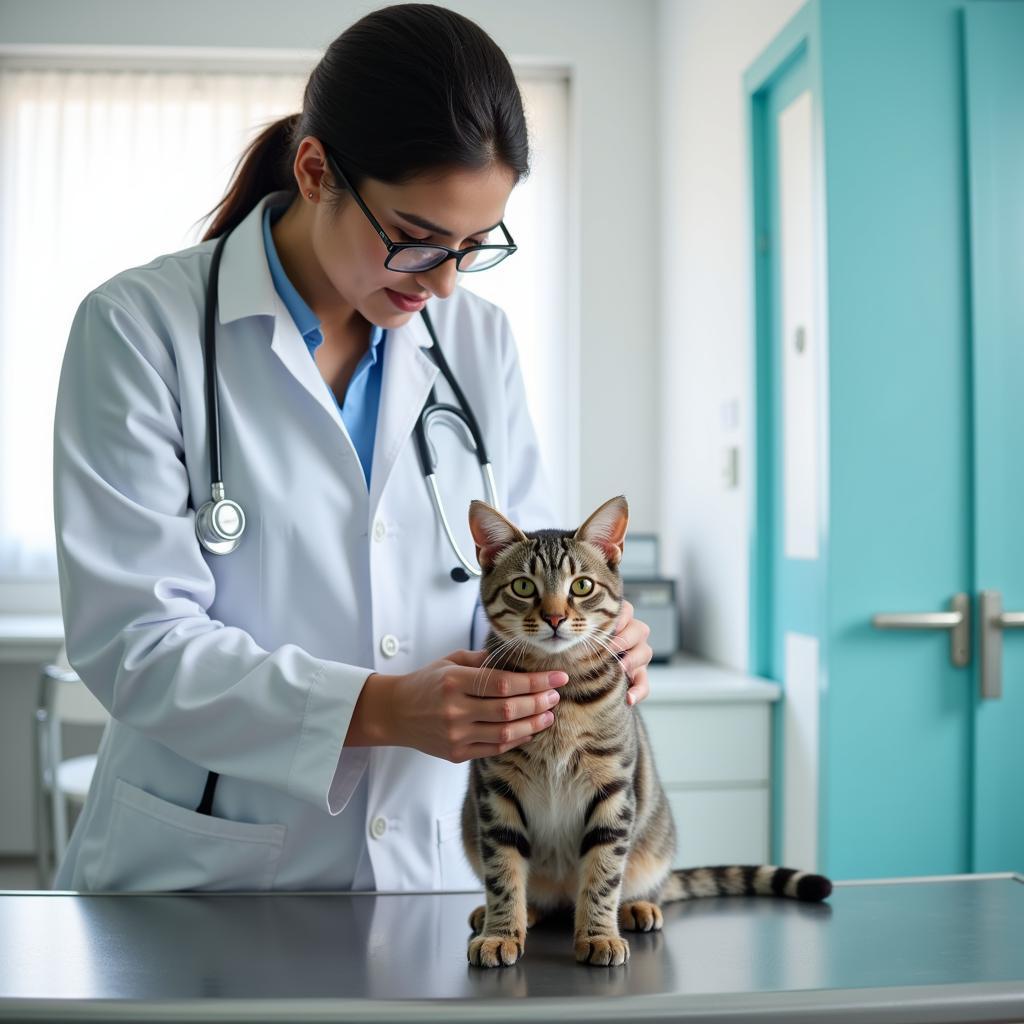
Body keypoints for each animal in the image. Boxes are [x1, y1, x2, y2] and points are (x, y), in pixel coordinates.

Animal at [464, 495, 831, 966]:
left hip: (653, 844)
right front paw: (500, 931)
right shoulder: (497, 792)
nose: (554, 618)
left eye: (581, 586)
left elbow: (603, 873)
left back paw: (636, 907)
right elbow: (503, 873)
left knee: (636, 885)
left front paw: (599, 934)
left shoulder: (612, 789)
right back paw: (517, 913)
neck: (560, 687)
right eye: (524, 587)